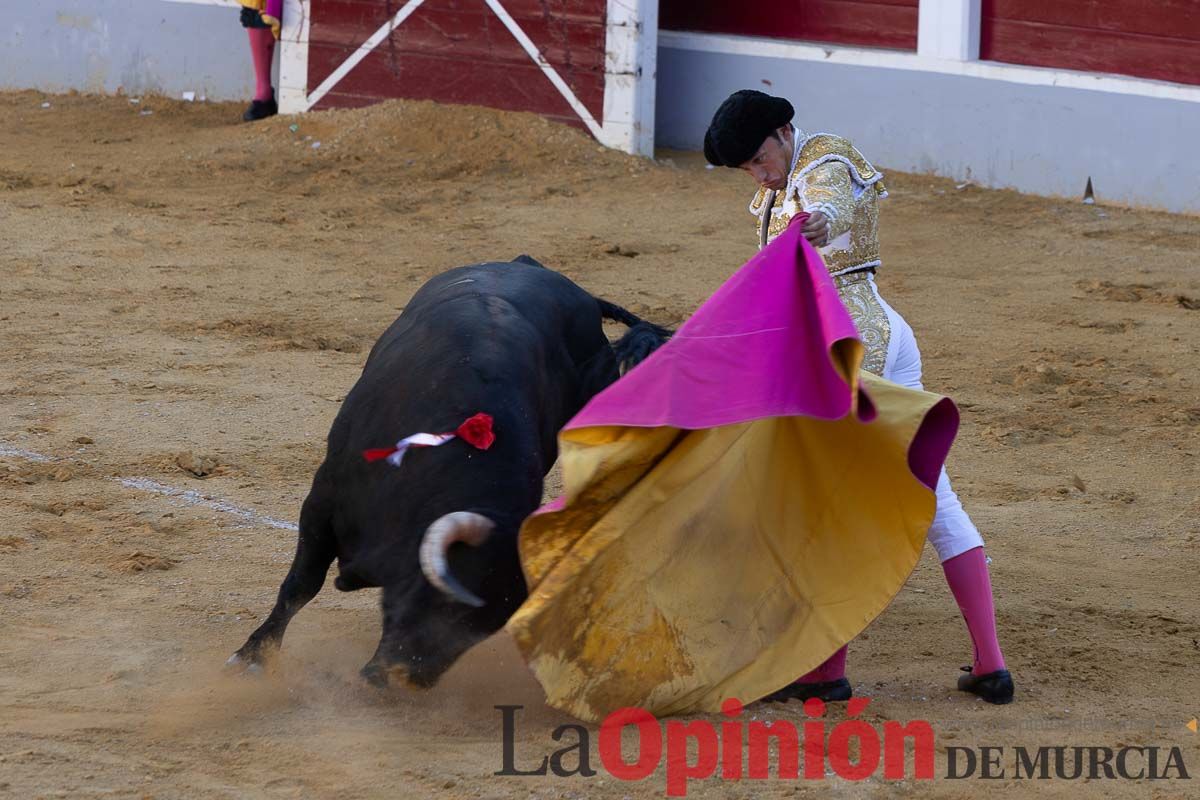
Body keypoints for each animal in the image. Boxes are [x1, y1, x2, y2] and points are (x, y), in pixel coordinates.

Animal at [229, 257, 672, 690]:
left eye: (485, 628)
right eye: (436, 601)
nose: (402, 681)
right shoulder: (323, 498)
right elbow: (302, 584)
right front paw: (252, 658)